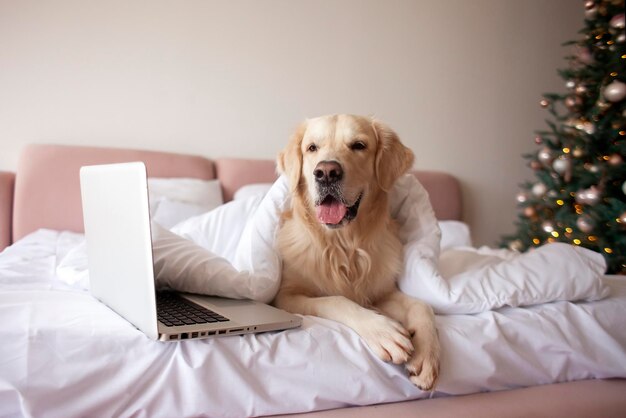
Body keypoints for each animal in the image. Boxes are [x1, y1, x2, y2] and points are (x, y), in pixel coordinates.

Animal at [272, 113, 438, 388]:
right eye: (312, 148)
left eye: (359, 145)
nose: (326, 173)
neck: (344, 246)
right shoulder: (285, 297)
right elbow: (336, 299)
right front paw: (383, 331)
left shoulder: (381, 292)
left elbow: (422, 305)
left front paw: (427, 353)